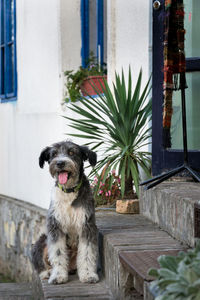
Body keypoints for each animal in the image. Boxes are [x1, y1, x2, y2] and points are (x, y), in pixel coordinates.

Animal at [31, 139, 99, 284]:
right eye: (54, 154)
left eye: (72, 152)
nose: (60, 163)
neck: (69, 191)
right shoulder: (55, 227)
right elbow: (57, 253)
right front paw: (58, 276)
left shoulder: (87, 226)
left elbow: (87, 252)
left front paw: (88, 275)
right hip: (41, 241)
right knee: (40, 260)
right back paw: (47, 272)